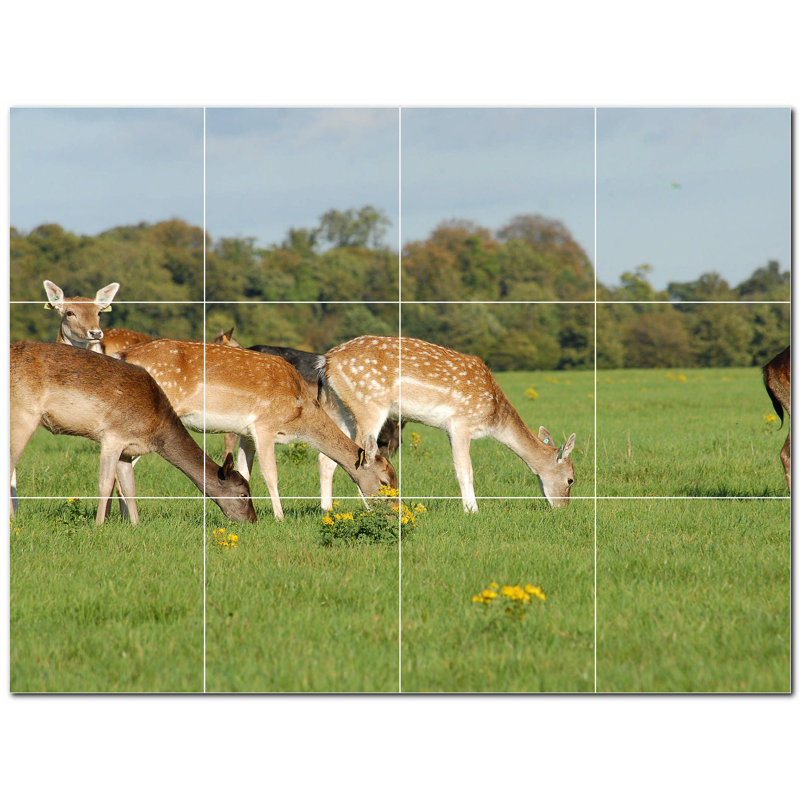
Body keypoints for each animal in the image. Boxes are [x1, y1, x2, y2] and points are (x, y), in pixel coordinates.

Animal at [10, 341, 257, 525]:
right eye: (244, 494)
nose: (253, 520)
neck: (155, 430)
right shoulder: (113, 436)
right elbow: (105, 483)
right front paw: (99, 525)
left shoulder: (127, 450)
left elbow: (130, 487)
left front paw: (135, 525)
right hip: (23, 414)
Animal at [118, 339, 398, 520]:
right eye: (384, 481)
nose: (393, 511)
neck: (299, 413)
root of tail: (124, 355)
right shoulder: (264, 425)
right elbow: (271, 474)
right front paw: (280, 517)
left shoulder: (246, 433)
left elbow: (244, 472)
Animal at [317, 335, 577, 512]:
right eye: (571, 479)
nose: (563, 508)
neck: (493, 417)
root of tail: (326, 362)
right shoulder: (461, 422)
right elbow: (465, 470)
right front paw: (472, 511)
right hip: (369, 404)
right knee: (362, 458)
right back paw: (372, 509)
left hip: (339, 408)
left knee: (328, 457)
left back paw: (326, 509)